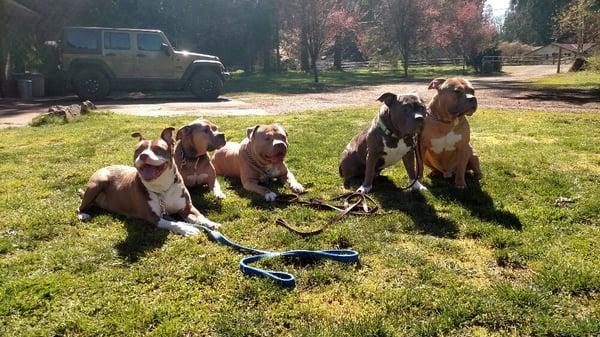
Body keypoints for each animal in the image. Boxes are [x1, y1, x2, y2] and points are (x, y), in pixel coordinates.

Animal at [77, 127, 221, 235]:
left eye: (158, 149)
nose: (143, 155)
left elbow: (199, 216)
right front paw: (187, 229)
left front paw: (211, 223)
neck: (162, 187)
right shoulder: (153, 217)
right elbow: (173, 223)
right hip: (97, 183)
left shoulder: (187, 208)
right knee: (79, 207)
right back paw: (82, 215)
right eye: (137, 150)